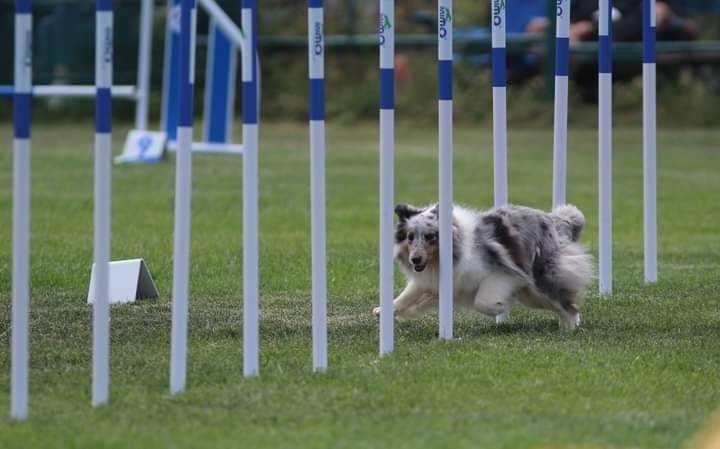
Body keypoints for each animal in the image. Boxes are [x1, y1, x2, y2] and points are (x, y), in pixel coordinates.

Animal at [374, 204, 592, 328]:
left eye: (430, 237)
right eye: (410, 237)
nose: (415, 260)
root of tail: (553, 219)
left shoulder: (502, 275)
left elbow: (482, 302)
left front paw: (500, 307)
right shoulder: (434, 283)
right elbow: (407, 297)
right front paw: (383, 310)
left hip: (539, 283)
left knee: (568, 304)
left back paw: (570, 327)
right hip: (531, 294)